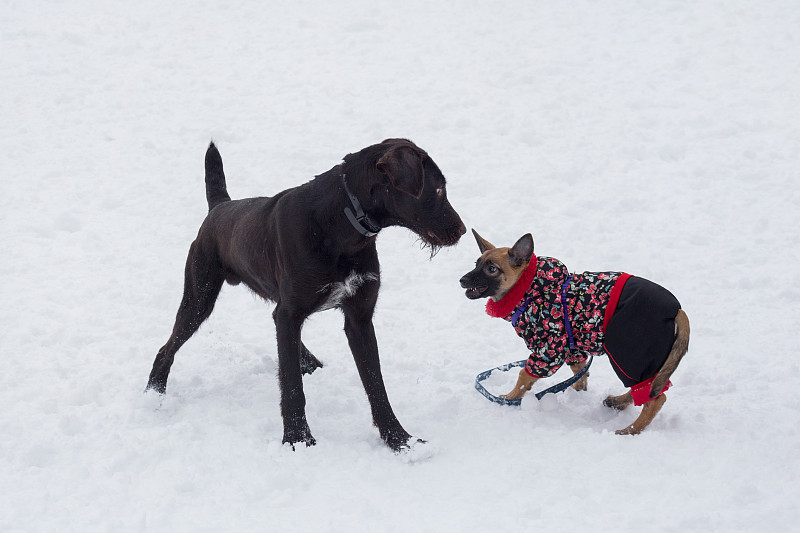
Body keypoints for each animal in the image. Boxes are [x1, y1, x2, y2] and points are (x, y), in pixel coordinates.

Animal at [147, 137, 466, 448]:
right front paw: (297, 439)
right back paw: (154, 392)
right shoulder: (290, 314)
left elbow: (376, 384)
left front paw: (399, 439)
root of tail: (219, 208)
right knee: (167, 348)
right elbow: (291, 386)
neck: (341, 224)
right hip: (199, 298)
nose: (463, 231)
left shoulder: (359, 318)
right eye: (438, 190)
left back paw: (310, 361)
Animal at [460, 229, 692, 432]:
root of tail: (676, 310)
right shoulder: (572, 347)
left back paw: (630, 430)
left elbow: (524, 377)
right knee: (648, 389)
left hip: (629, 357)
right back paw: (618, 402)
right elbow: (579, 371)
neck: (528, 291)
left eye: (492, 269)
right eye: (476, 264)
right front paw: (576, 391)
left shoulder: (548, 352)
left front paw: (510, 399)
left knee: (655, 398)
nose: (462, 280)